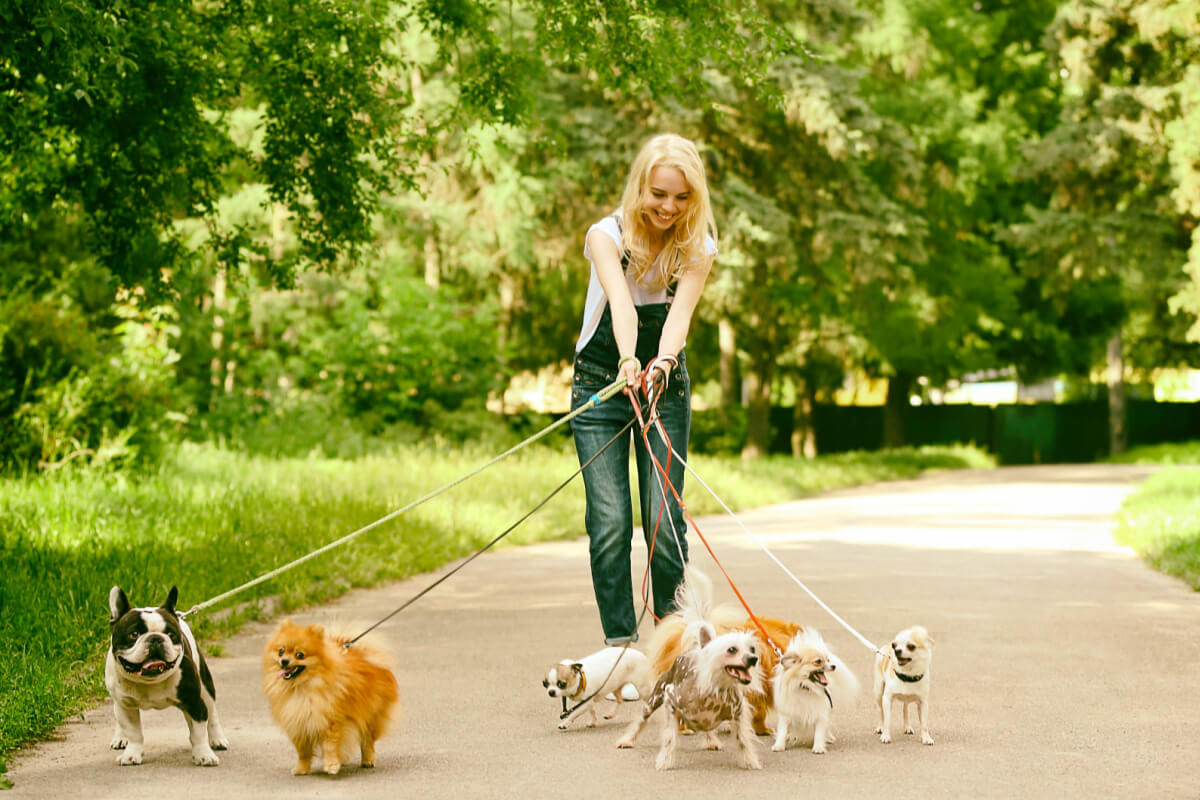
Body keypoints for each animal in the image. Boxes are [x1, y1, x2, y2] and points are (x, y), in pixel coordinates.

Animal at [108, 585, 231, 767]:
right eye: (134, 634)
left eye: (171, 634)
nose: (155, 638)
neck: (149, 681)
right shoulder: (125, 706)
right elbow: (133, 732)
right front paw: (131, 754)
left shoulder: (194, 702)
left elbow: (199, 732)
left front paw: (203, 754)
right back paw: (120, 738)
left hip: (205, 686)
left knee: (212, 713)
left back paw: (217, 739)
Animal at [261, 618, 400, 777]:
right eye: (281, 651)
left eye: (300, 655)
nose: (284, 661)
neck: (302, 689)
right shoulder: (299, 723)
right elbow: (303, 752)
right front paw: (301, 769)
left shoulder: (331, 721)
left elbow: (330, 746)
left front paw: (331, 765)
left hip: (371, 715)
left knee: (367, 740)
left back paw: (367, 760)